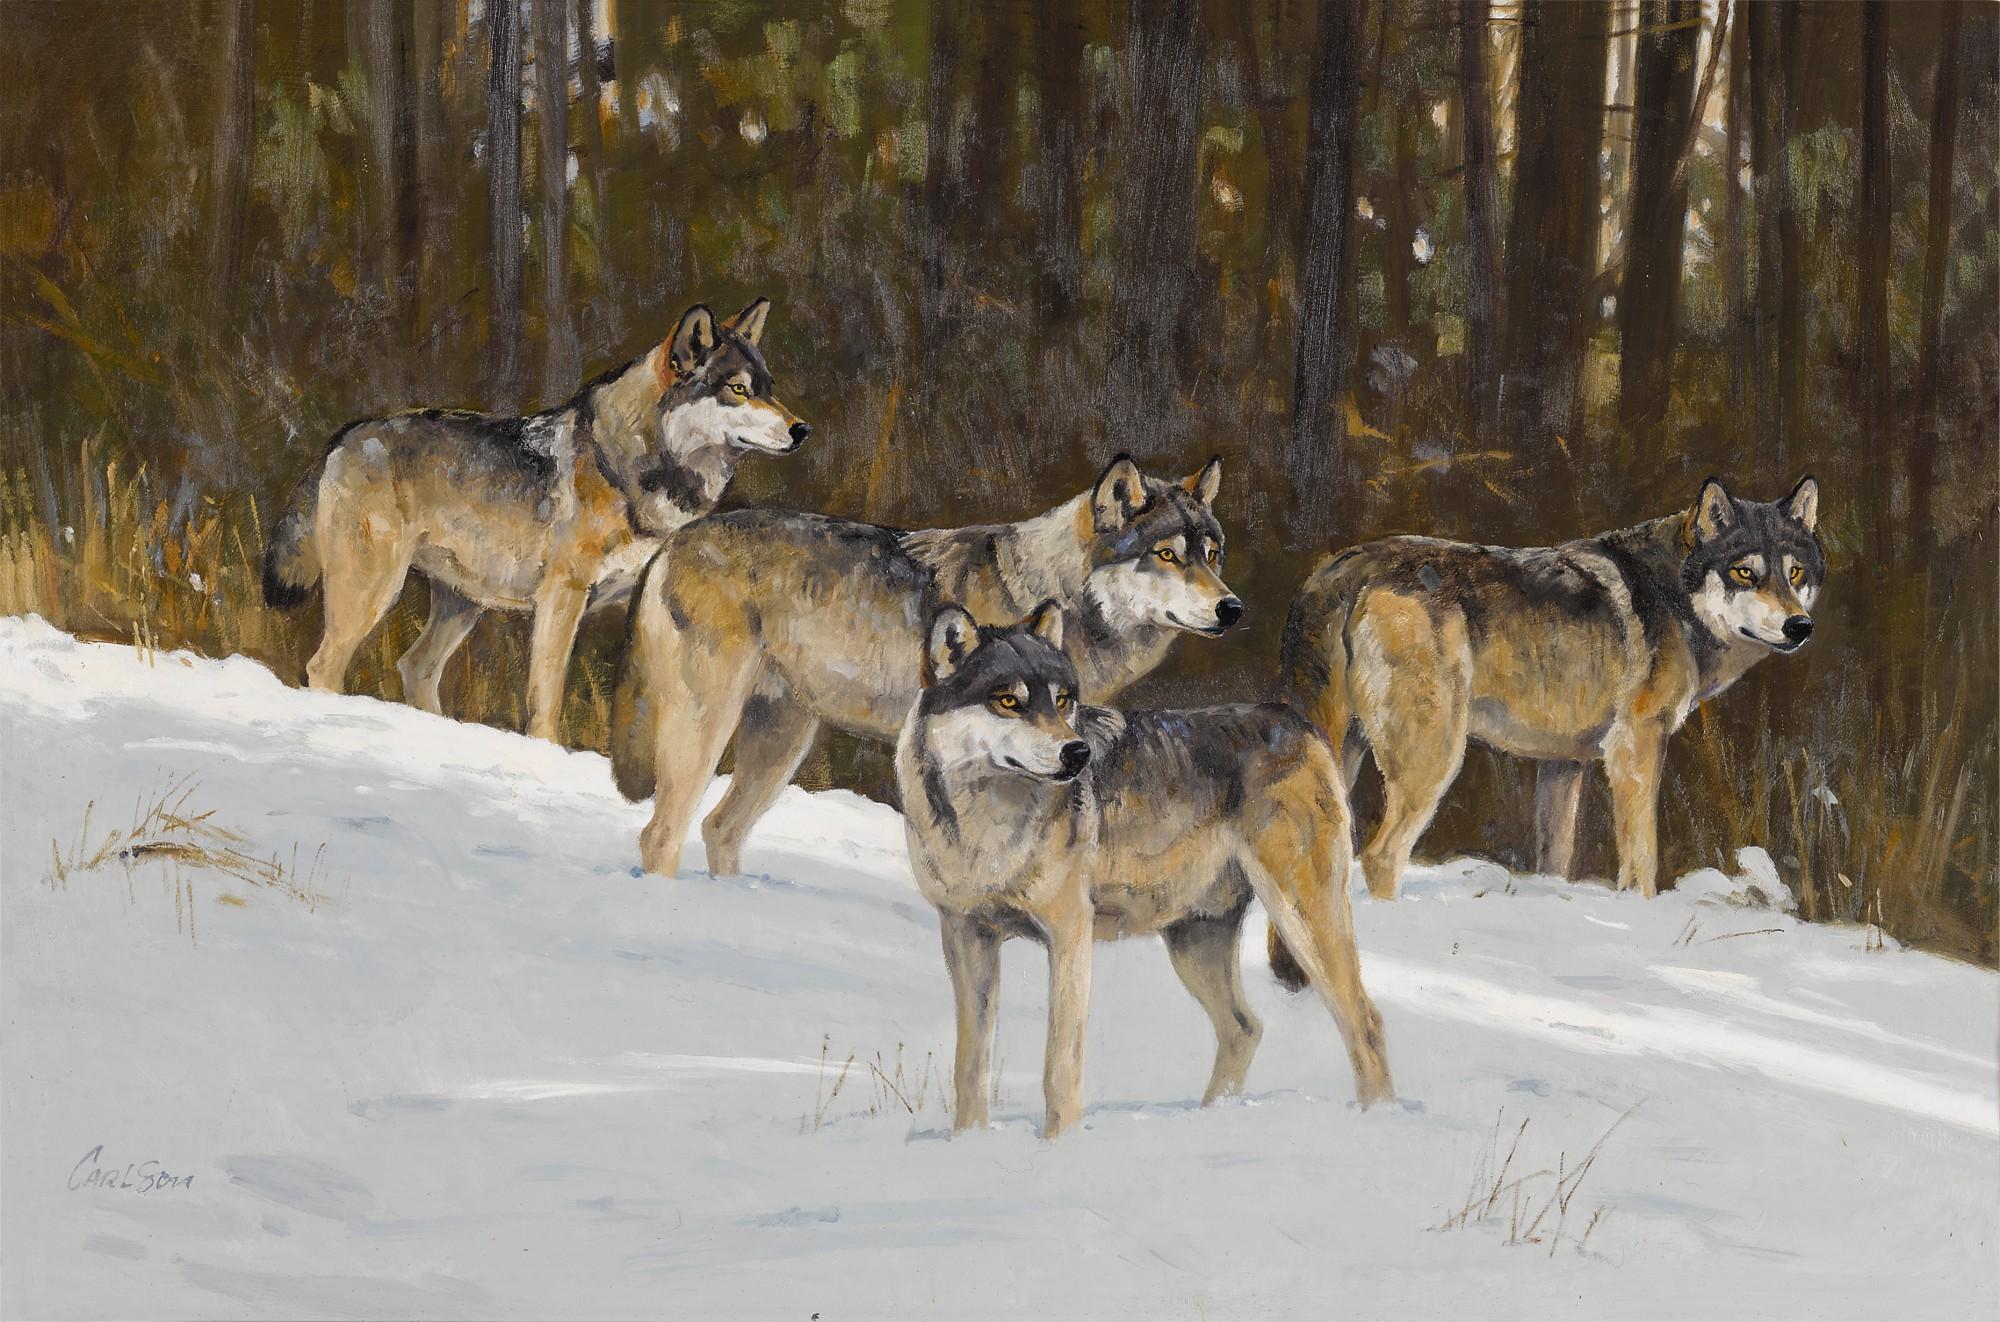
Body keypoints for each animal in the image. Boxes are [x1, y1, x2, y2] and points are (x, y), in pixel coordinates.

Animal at [261, 299, 807, 741]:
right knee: (323, 666)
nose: (803, 429)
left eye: (769, 388)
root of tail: (344, 438)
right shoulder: (562, 596)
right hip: (374, 592)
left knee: (414, 667)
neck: (625, 466)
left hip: (461, 605)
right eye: (738, 389)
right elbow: (546, 700)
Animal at [610, 454, 1243, 879]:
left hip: (781, 743)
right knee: (660, 835)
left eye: (1212, 555)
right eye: (1167, 555)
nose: (1232, 608)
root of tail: (671, 544)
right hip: (710, 729)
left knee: (718, 830)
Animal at [897, 602, 1395, 1138]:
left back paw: (1379, 1120)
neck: (989, 834)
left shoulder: (1069, 934)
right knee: (1245, 1027)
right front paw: (967, 1141)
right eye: (1008, 700)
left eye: (1063, 701)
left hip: (1302, 921)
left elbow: (1059, 1064)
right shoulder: (966, 938)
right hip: (1194, 944)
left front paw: (1058, 1145)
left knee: (1365, 1020)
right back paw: (1209, 1120)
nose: (1077, 753)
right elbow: (970, 1063)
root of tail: (1295, 720)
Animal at [1276, 476, 1824, 924]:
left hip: (1341, 752)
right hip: (1435, 758)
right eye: (1746, 573)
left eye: (1796, 574)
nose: (1800, 627)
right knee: (1380, 856)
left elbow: (1554, 860)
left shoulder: (1564, 766)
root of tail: (1346, 568)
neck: (1673, 595)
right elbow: (1641, 860)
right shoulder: (1634, 747)